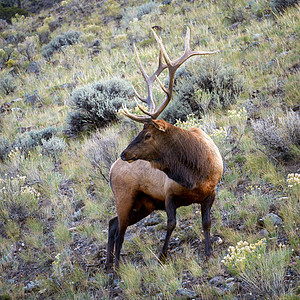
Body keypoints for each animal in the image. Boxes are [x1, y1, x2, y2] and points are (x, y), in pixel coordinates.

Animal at [105, 28, 223, 272]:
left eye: (148, 134)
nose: (124, 153)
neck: (195, 172)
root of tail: (111, 169)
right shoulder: (169, 194)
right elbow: (171, 224)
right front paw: (162, 256)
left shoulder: (211, 192)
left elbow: (206, 223)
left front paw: (208, 253)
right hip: (125, 197)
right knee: (120, 230)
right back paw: (117, 267)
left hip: (143, 205)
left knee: (113, 224)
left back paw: (109, 264)